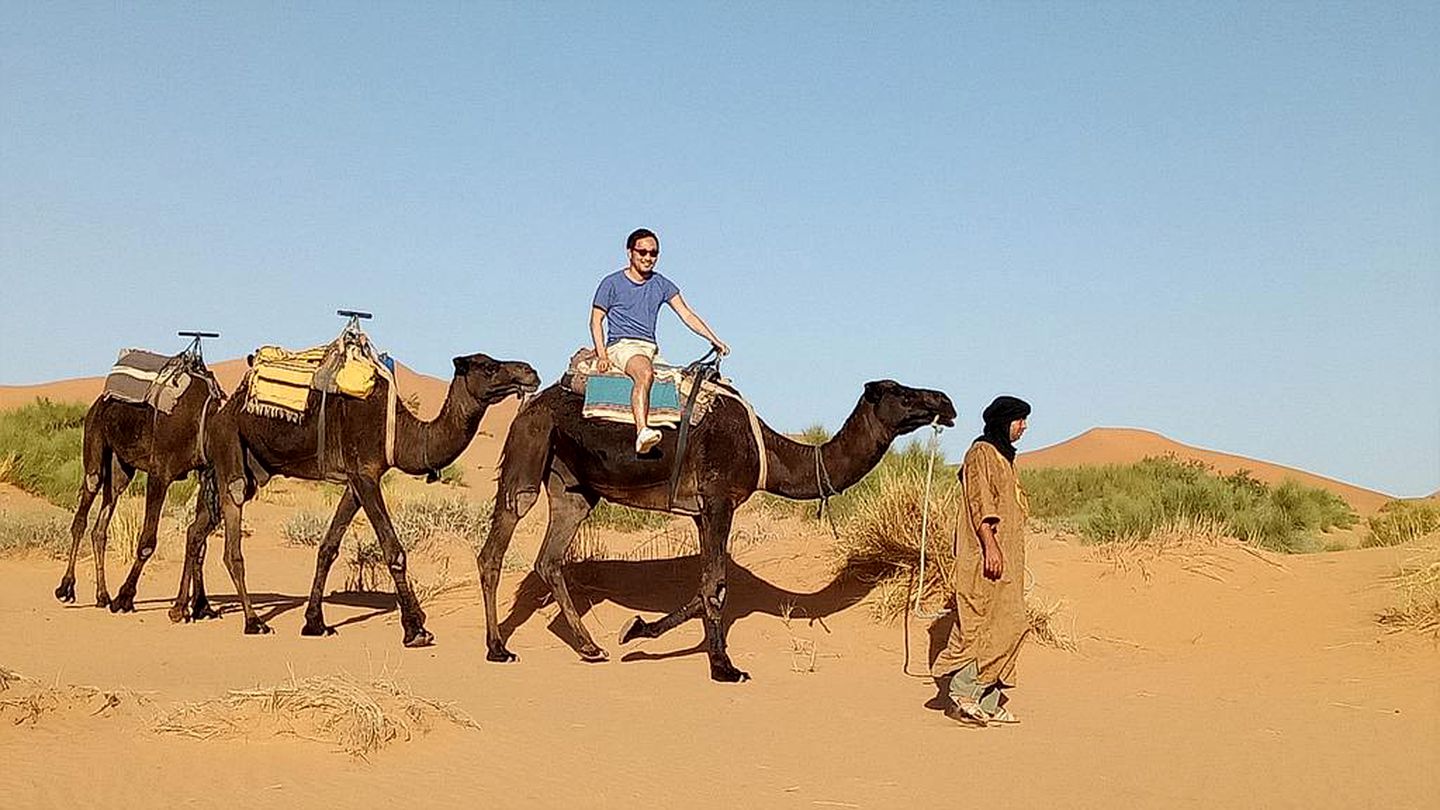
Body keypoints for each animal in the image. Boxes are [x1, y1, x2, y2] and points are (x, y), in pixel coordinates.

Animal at [56, 331, 226, 608]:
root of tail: (98, 401)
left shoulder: (205, 473)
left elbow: (199, 538)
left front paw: (201, 605)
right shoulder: (160, 473)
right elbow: (148, 541)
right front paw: (125, 596)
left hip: (121, 467)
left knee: (100, 526)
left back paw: (102, 595)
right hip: (94, 438)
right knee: (83, 513)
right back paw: (66, 587)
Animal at [169, 350, 541, 645]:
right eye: (489, 366)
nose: (529, 371)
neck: (399, 433)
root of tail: (219, 412)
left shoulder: (353, 480)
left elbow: (328, 547)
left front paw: (315, 623)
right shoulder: (365, 474)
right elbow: (394, 550)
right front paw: (415, 629)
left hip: (247, 468)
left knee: (196, 529)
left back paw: (184, 609)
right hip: (230, 448)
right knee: (230, 542)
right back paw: (253, 621)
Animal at [480, 374, 956, 677]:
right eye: (901, 393)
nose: (945, 402)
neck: (769, 453)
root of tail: (529, 404)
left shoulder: (701, 511)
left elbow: (707, 585)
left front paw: (637, 630)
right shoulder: (719, 501)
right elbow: (716, 584)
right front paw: (724, 667)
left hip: (572, 487)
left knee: (550, 558)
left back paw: (590, 647)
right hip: (530, 448)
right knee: (496, 546)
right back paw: (498, 649)